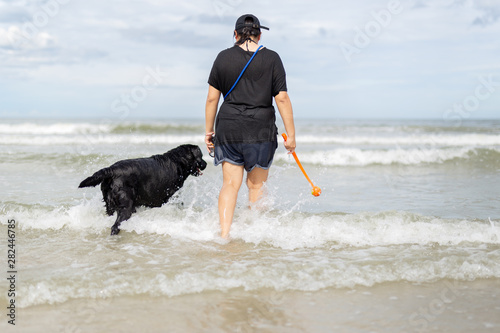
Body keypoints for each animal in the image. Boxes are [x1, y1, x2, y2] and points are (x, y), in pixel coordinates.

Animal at [77, 144, 206, 235]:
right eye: (202, 156)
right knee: (115, 226)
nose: (206, 164)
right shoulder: (172, 196)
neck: (178, 161)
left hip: (110, 205)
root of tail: (111, 170)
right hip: (126, 207)